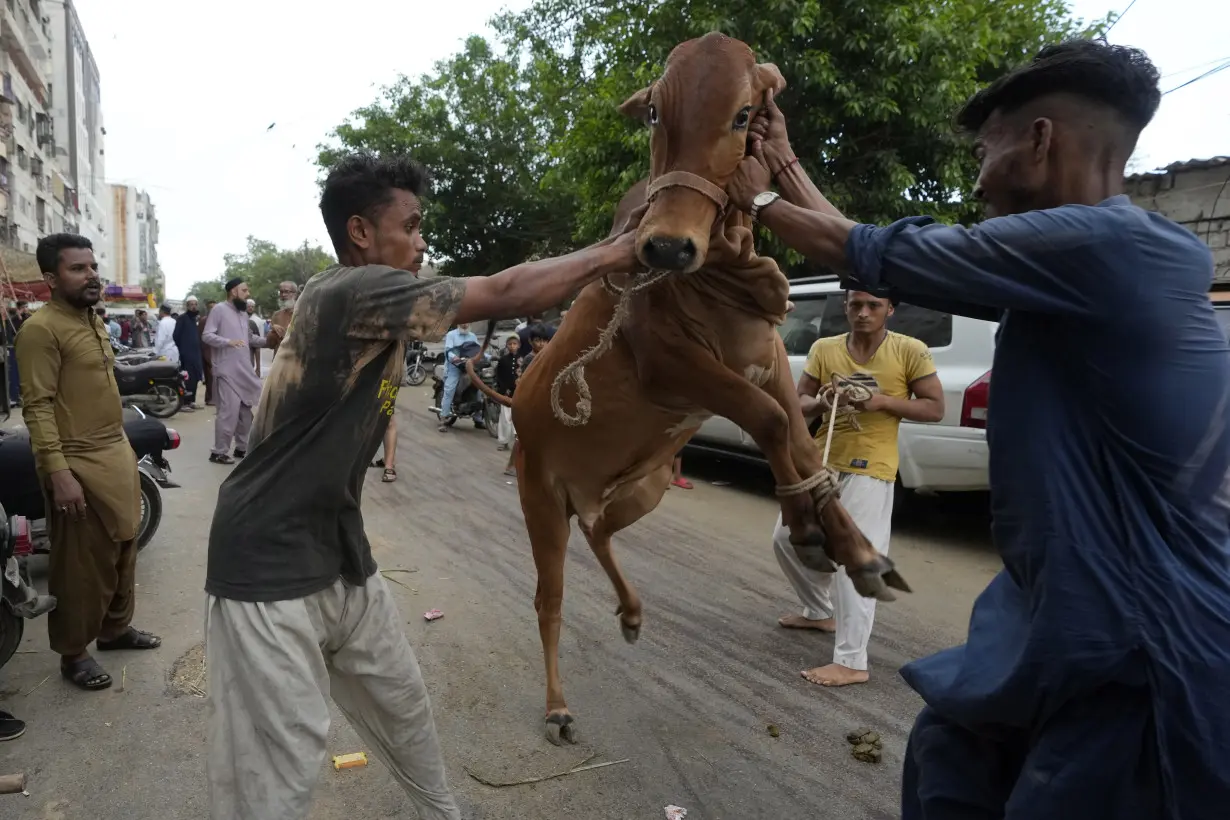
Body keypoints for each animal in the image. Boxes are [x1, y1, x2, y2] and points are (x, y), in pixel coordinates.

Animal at [514, 32, 910, 747]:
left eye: (744, 115)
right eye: (653, 113)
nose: (666, 248)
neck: (726, 267)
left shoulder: (769, 358)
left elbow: (801, 445)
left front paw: (849, 547)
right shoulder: (672, 366)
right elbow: (770, 421)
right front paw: (809, 529)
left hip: (641, 489)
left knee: (600, 532)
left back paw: (631, 613)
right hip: (541, 498)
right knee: (548, 600)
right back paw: (558, 706)